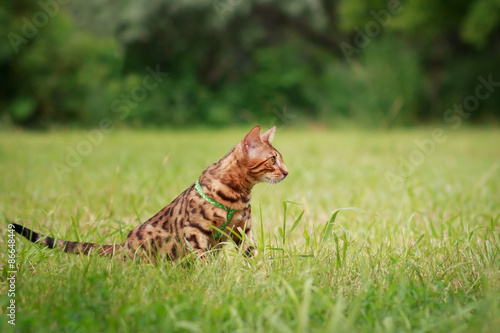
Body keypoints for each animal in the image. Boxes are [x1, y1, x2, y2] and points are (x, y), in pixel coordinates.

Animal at [10, 125, 290, 262]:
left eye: (281, 159)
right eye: (273, 160)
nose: (287, 172)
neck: (239, 193)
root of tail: (122, 246)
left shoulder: (243, 231)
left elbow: (254, 256)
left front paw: (263, 278)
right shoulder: (194, 231)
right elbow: (204, 261)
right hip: (157, 239)